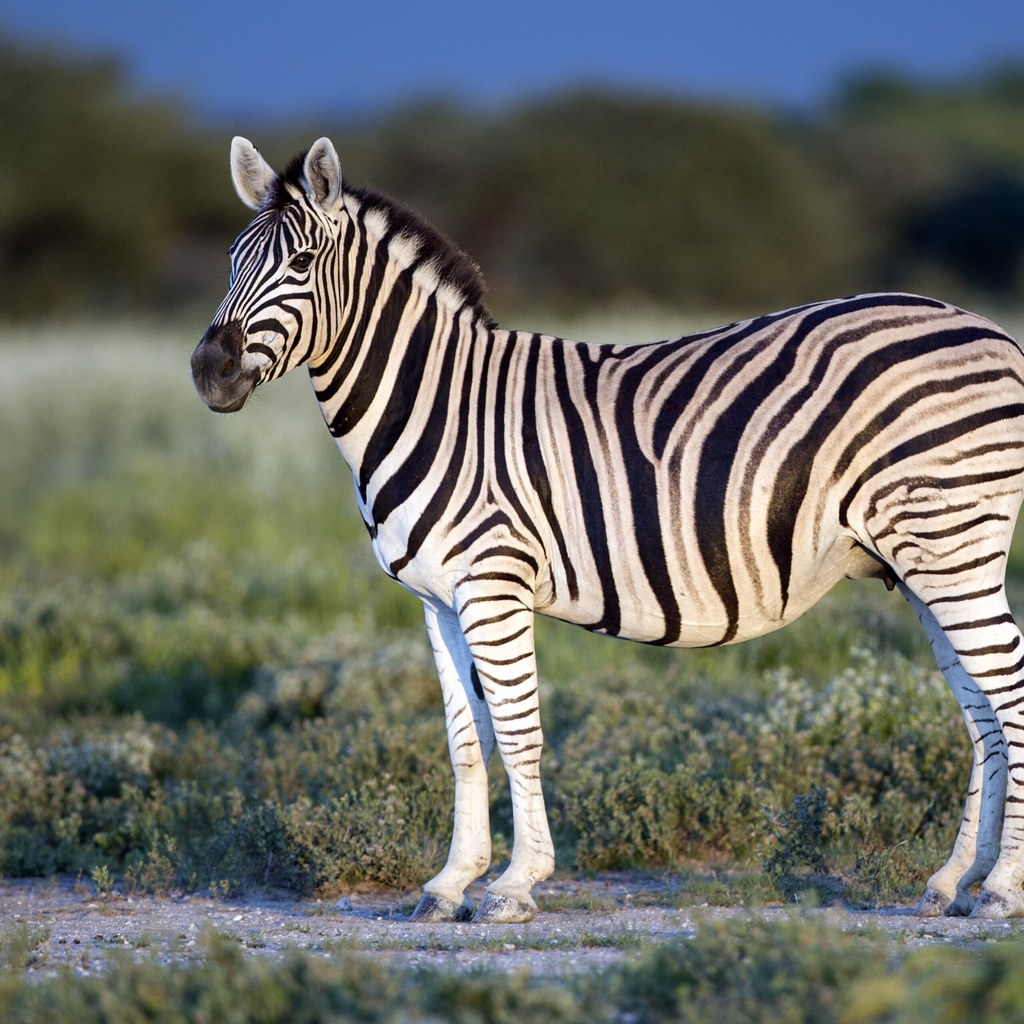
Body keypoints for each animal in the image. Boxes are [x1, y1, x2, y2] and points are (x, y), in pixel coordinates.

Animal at [192, 136, 1024, 924]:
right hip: (922, 562)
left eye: (301, 263)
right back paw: (953, 882)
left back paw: (1002, 889)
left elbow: (518, 731)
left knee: (1008, 692)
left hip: (951, 546)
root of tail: (992, 331)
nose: (208, 370)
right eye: (230, 261)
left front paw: (514, 885)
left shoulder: (494, 583)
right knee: (981, 714)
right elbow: (465, 740)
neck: (434, 402)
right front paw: (451, 883)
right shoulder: (436, 599)